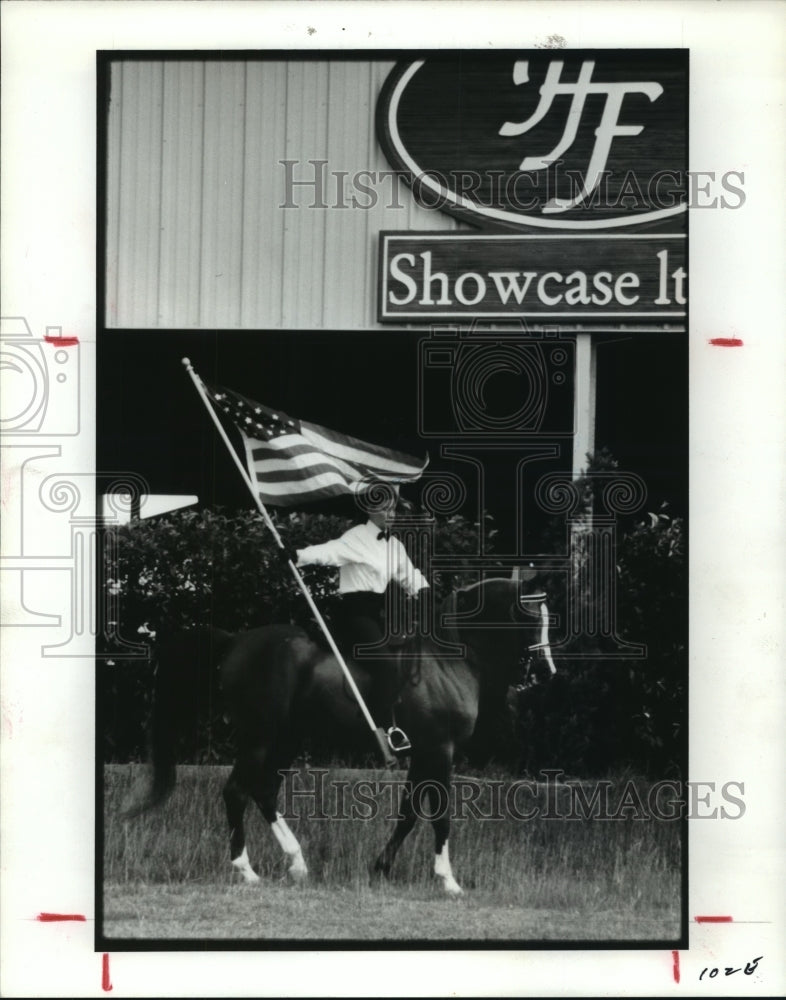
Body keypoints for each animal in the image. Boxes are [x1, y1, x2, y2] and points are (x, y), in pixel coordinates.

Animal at [124, 576, 552, 896]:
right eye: (529, 612)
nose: (546, 672)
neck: (449, 661)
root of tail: (236, 641)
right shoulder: (439, 750)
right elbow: (440, 814)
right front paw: (448, 881)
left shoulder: (423, 753)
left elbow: (409, 813)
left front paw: (381, 868)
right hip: (259, 737)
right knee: (236, 792)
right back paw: (246, 871)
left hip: (287, 740)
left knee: (264, 791)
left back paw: (297, 864)